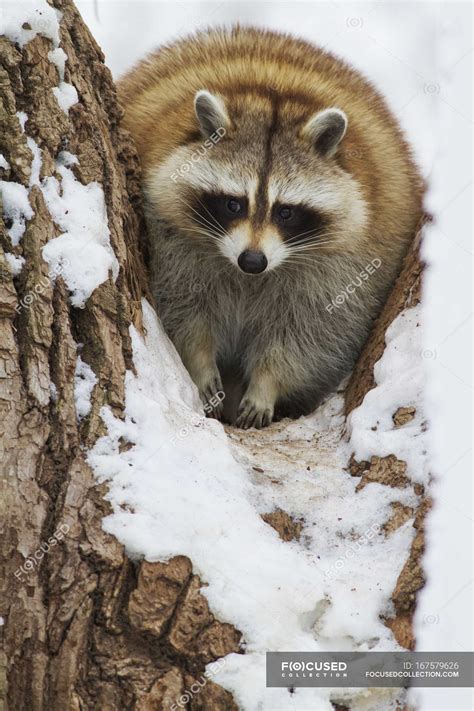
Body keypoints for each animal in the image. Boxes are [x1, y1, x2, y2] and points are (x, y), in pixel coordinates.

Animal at [120, 26, 424, 428]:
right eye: (233, 204)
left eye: (286, 213)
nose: (252, 261)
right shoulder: (168, 237)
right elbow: (181, 307)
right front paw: (198, 364)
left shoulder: (348, 263)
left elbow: (314, 333)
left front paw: (268, 383)